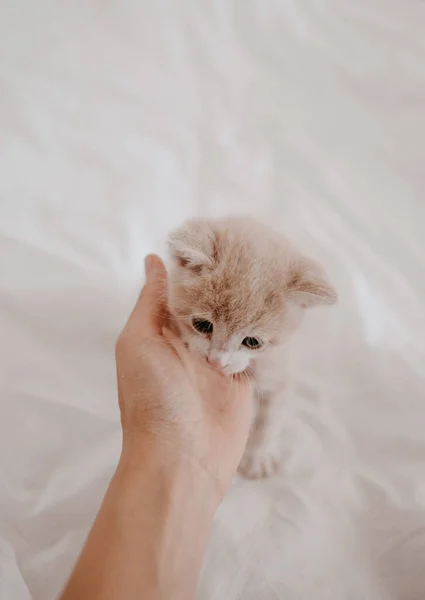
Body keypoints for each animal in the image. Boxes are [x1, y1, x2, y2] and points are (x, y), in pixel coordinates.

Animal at [166, 216, 334, 478]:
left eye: (252, 342)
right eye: (202, 325)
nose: (216, 361)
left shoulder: (278, 371)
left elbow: (270, 418)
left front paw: (258, 456)